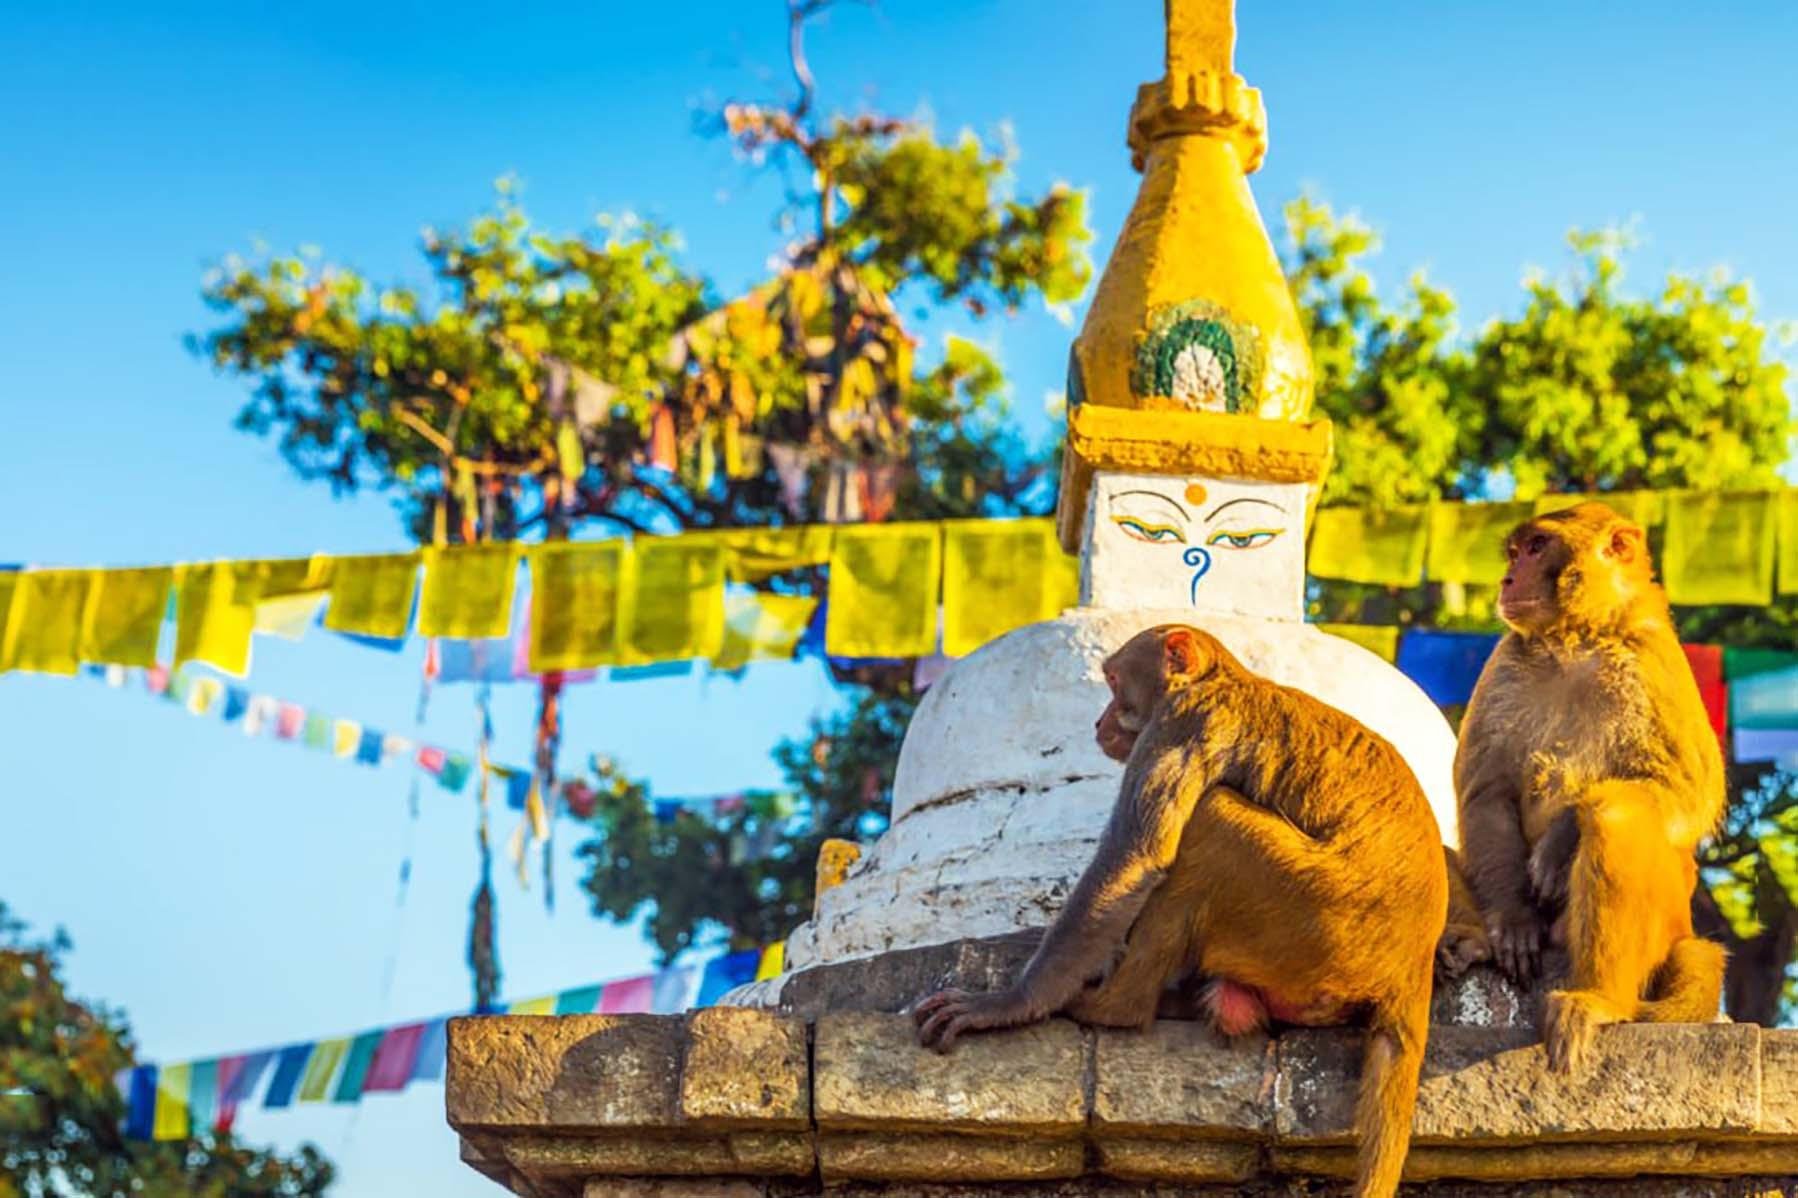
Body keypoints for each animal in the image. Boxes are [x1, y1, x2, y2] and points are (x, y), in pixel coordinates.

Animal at [913, 624, 1446, 1198]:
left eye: (1114, 681)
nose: (1098, 722)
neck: (1225, 679)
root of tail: (1411, 970)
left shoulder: (1181, 723)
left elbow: (1137, 857)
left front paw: (1011, 1003)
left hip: (1312, 922)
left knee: (1211, 820)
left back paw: (1114, 1007)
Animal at [1454, 501, 1727, 1073]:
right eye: (1515, 552)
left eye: (1537, 547)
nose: (1507, 578)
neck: (1576, 639)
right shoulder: (1505, 662)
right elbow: (1487, 794)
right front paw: (1512, 921)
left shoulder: (1652, 657)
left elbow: (1688, 795)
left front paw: (1562, 837)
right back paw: (1477, 942)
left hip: (1668, 921)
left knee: (1618, 814)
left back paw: (1600, 998)